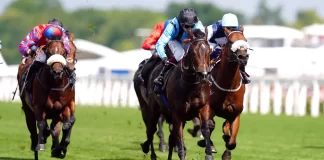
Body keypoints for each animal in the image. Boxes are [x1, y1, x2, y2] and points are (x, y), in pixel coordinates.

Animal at [137, 29, 215, 160]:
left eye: (209, 50)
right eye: (193, 52)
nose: (203, 75)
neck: (191, 86)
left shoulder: (203, 109)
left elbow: (205, 130)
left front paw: (209, 154)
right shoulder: (178, 115)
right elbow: (179, 140)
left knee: (169, 137)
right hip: (152, 109)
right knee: (151, 129)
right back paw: (150, 150)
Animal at [192, 26, 251, 159]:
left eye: (245, 40)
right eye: (230, 41)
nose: (243, 57)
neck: (228, 86)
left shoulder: (235, 114)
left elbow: (231, 142)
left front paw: (227, 150)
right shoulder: (208, 108)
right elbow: (209, 126)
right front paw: (208, 145)